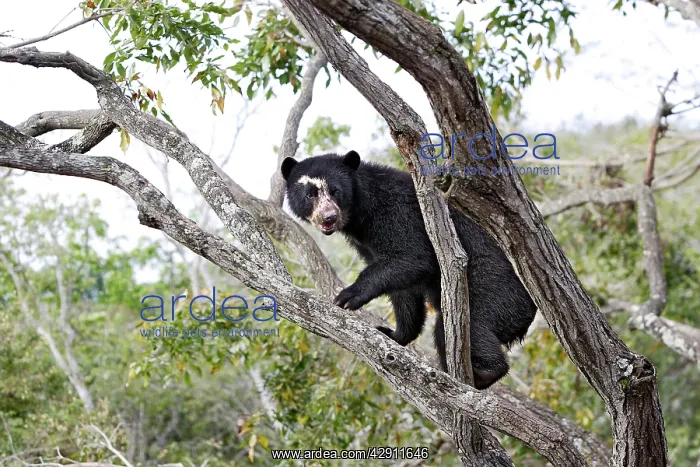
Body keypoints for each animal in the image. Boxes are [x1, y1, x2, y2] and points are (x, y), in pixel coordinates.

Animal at [281, 150, 537, 389]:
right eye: (310, 194)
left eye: (335, 191)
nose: (329, 218)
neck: (359, 215)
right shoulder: (365, 243)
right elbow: (404, 289)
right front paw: (394, 334)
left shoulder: (396, 211)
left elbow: (414, 257)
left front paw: (348, 296)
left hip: (494, 287)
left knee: (469, 325)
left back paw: (485, 373)